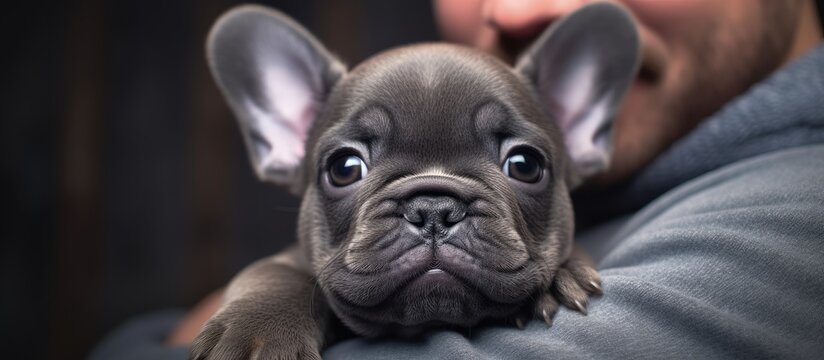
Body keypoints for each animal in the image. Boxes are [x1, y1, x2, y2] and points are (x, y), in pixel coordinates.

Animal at [192, 3, 636, 360]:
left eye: (525, 165)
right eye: (344, 168)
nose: (434, 208)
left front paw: (561, 279)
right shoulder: (286, 260)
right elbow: (274, 273)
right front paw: (257, 332)